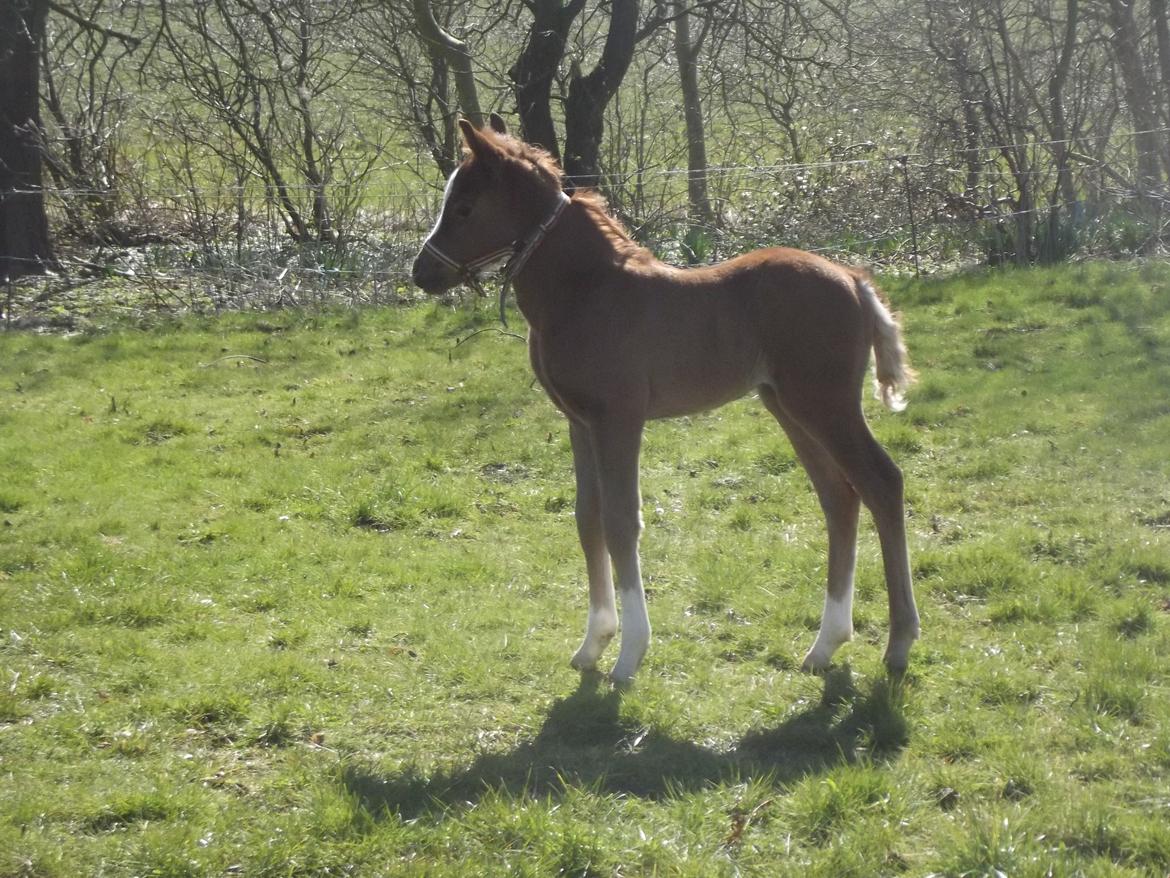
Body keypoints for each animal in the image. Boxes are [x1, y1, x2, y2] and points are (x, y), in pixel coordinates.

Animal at [411, 115, 920, 684]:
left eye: (464, 207)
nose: (421, 273)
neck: (586, 290)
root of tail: (854, 280)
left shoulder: (618, 419)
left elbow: (620, 521)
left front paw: (629, 654)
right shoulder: (578, 422)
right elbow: (587, 518)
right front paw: (593, 643)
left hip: (826, 404)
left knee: (881, 483)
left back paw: (898, 644)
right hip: (788, 406)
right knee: (839, 496)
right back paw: (825, 645)